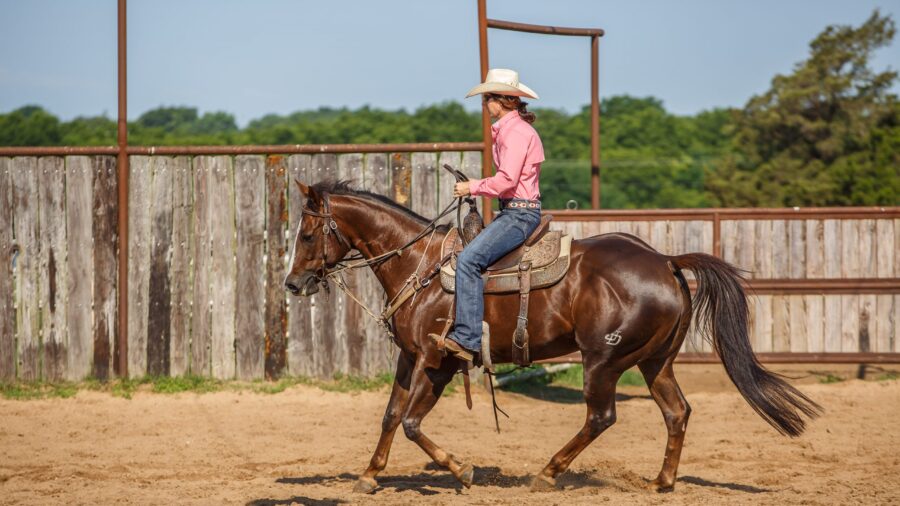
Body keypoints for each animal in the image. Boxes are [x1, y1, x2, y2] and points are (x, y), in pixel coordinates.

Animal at [283, 179, 821, 494]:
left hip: (603, 361)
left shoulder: (437, 361)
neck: (419, 264)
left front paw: (461, 470)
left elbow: (413, 422)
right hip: (655, 362)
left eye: (307, 235)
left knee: (601, 416)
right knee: (677, 412)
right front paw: (369, 475)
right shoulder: (409, 357)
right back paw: (661, 482)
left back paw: (547, 473)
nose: (293, 284)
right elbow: (392, 415)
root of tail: (665, 261)